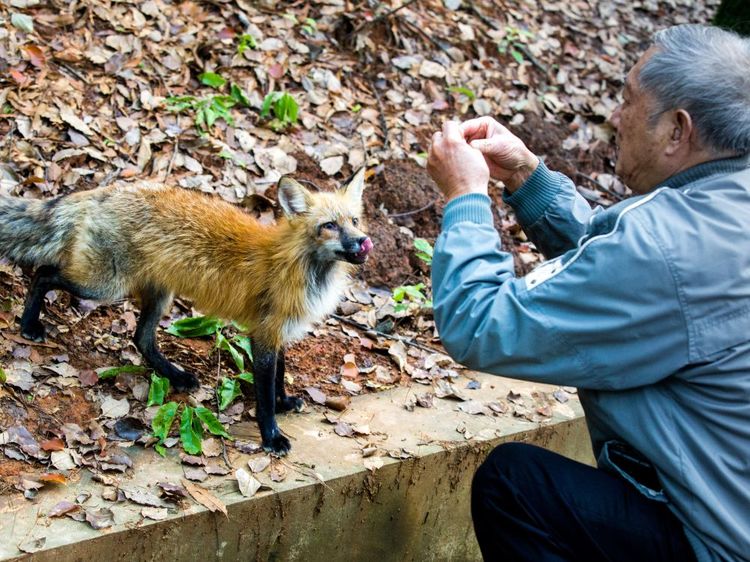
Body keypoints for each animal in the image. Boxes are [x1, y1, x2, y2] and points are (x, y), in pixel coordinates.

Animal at [0, 168, 374, 452]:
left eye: (355, 221)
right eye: (329, 226)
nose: (362, 241)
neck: (298, 267)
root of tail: (104, 190)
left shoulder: (277, 332)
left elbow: (278, 379)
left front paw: (284, 404)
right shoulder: (264, 334)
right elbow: (264, 394)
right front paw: (271, 436)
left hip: (158, 295)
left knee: (141, 339)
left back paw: (176, 376)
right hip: (104, 285)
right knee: (42, 274)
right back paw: (29, 324)